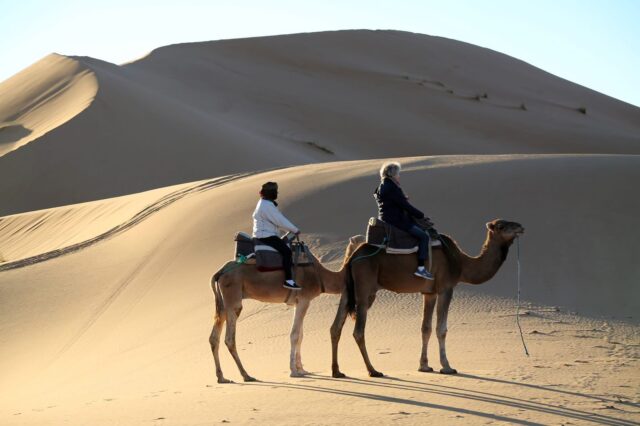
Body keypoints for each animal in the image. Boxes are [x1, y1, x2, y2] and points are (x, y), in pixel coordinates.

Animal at [209, 241, 355, 383]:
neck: (320, 275)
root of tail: (219, 272)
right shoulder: (304, 299)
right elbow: (295, 335)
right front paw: (294, 371)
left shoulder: (299, 302)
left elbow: (300, 335)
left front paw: (302, 369)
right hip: (233, 297)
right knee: (229, 338)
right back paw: (246, 375)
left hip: (223, 302)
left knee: (214, 337)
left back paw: (222, 377)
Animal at [330, 219, 525, 378]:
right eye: (501, 226)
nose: (521, 227)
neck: (461, 263)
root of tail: (353, 256)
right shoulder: (446, 288)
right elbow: (441, 329)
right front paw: (447, 367)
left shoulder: (429, 293)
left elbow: (426, 328)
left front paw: (424, 366)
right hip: (365, 289)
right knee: (358, 331)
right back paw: (373, 370)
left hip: (348, 289)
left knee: (335, 326)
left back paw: (337, 371)